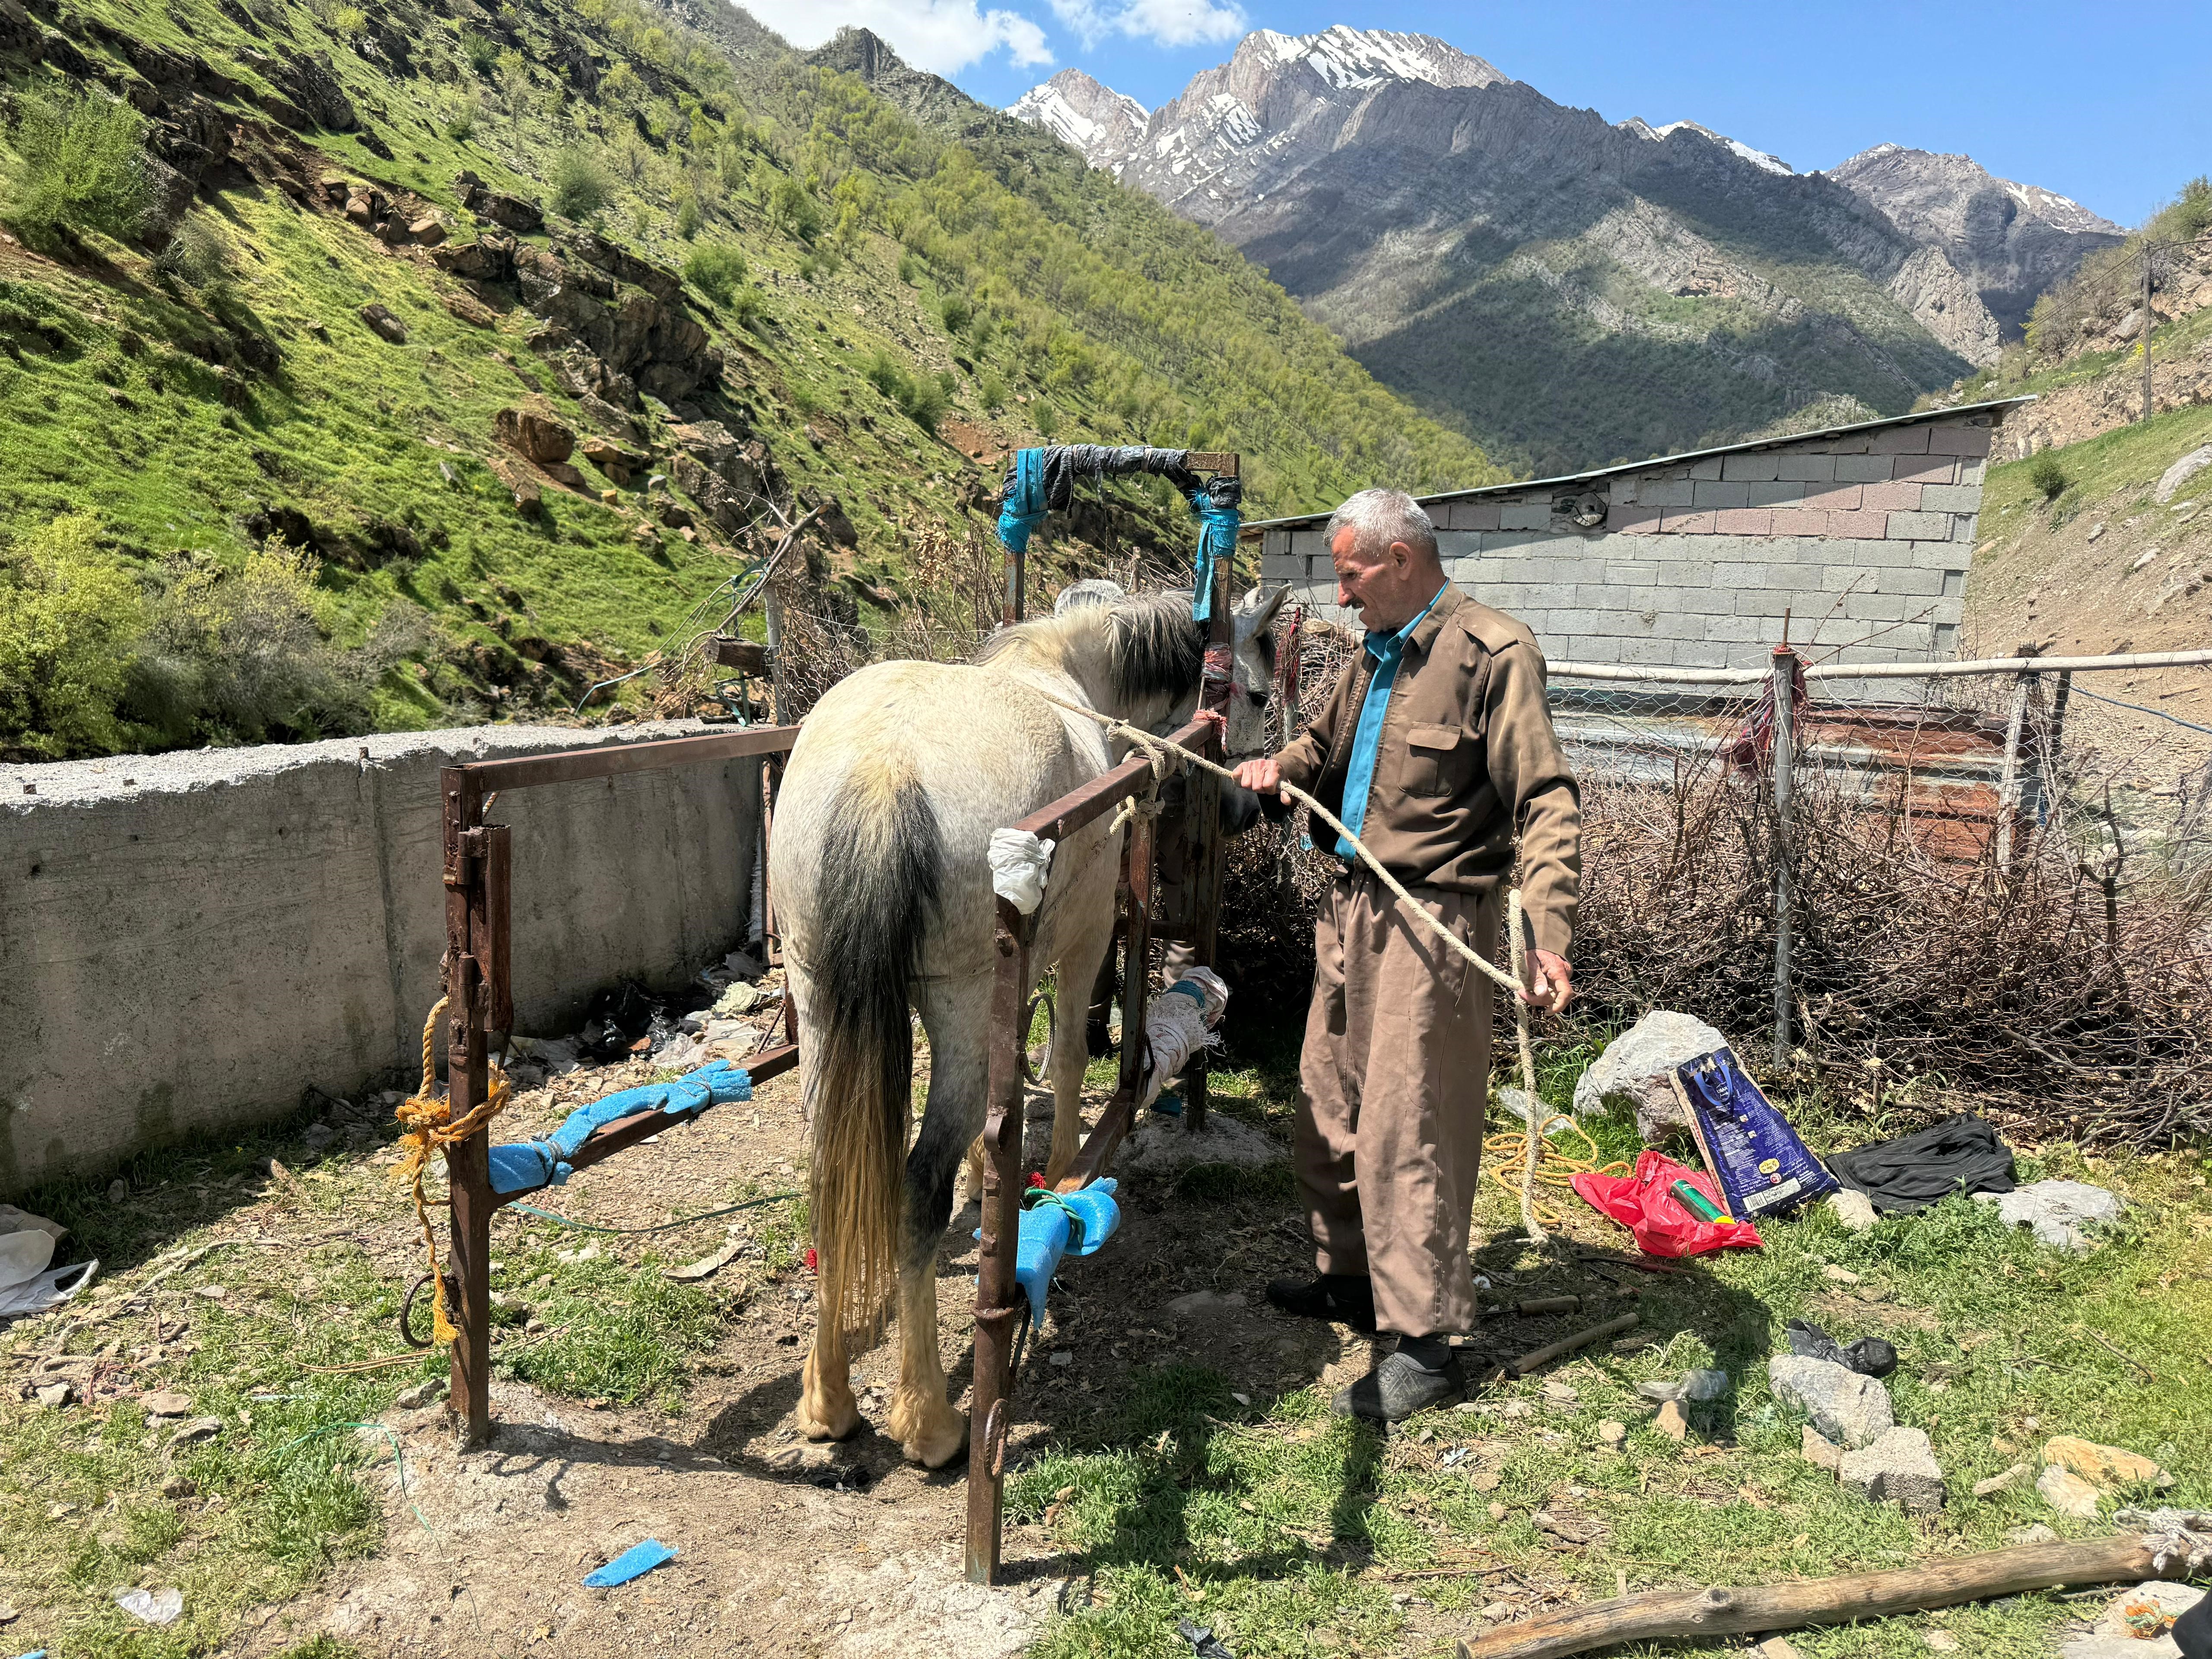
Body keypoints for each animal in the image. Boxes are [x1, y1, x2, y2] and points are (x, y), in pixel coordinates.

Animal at [774, 588, 1283, 1468]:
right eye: (1253, 694)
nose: (1247, 807)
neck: (1068, 675)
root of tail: (882, 772)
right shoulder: (1083, 940)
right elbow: (1073, 1058)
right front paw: (1063, 1178)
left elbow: (999, 1110)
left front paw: (998, 1180)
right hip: (958, 1006)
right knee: (917, 1188)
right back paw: (930, 1422)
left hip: (821, 1002)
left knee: (835, 1171)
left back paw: (828, 1400)